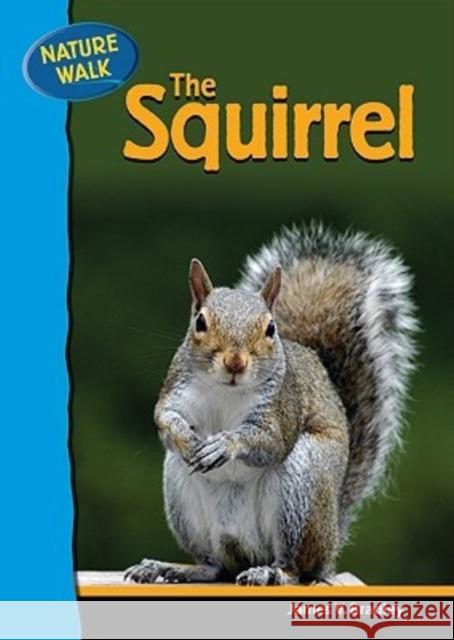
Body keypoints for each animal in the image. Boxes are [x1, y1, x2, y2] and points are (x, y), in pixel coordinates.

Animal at [125, 222, 417, 585]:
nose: (235, 363)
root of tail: (332, 539)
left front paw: (225, 444)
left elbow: (271, 440)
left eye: (270, 327)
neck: (226, 390)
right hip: (182, 494)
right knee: (214, 566)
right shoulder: (177, 390)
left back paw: (271, 572)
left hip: (302, 487)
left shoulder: (281, 407)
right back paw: (170, 568)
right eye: (200, 322)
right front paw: (186, 438)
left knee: (297, 568)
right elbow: (165, 417)